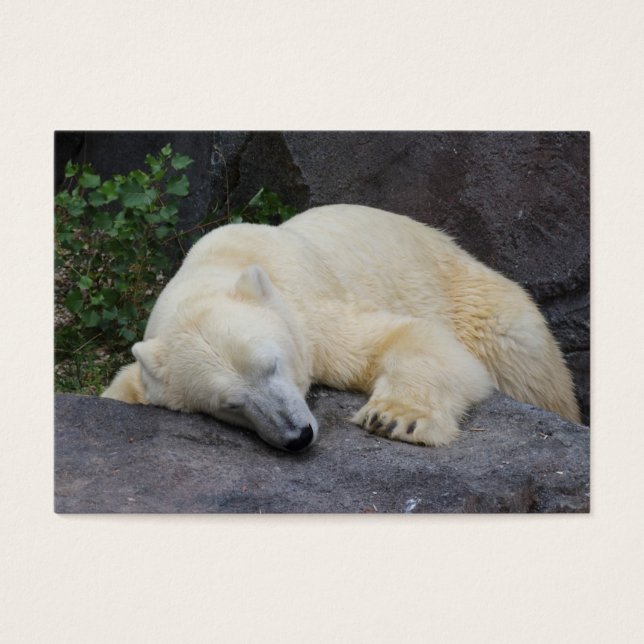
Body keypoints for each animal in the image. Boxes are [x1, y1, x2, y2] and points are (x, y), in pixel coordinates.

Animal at [102, 204, 581, 452]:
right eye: (230, 404)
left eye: (272, 365)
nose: (298, 436)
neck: (221, 263)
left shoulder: (311, 312)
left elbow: (408, 338)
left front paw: (394, 418)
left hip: (483, 302)